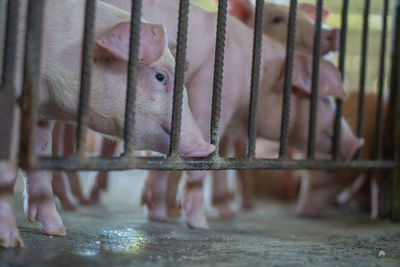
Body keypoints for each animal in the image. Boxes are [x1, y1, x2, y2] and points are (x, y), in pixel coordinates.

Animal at [104, 0, 362, 230]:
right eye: (325, 100)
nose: (358, 144)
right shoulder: (208, 91)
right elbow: (199, 163)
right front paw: (200, 225)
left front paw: (159, 216)